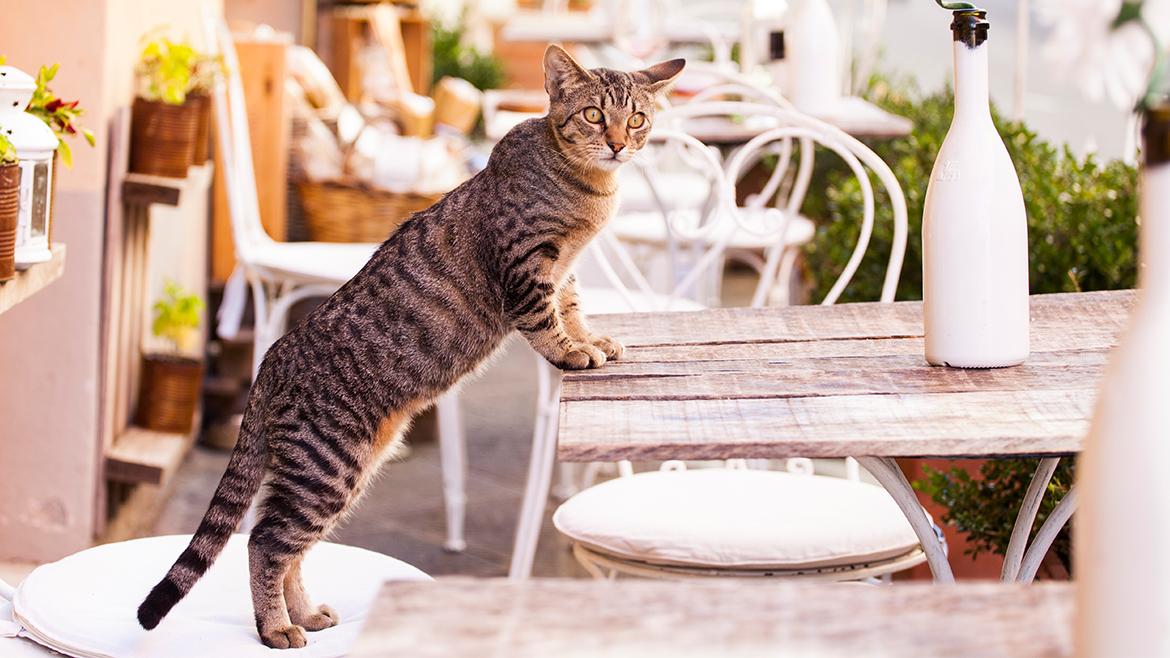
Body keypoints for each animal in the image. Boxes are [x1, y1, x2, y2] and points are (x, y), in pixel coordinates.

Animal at [136, 46, 683, 646]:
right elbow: (545, 320)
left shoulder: (564, 270)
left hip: (335, 474)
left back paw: (303, 613)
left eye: (637, 119)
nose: (618, 144)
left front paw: (591, 338)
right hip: (326, 467)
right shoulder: (526, 266)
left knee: (287, 546)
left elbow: (574, 307)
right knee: (265, 542)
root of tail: (271, 361)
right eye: (592, 115)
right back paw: (277, 627)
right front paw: (571, 351)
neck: (588, 191)